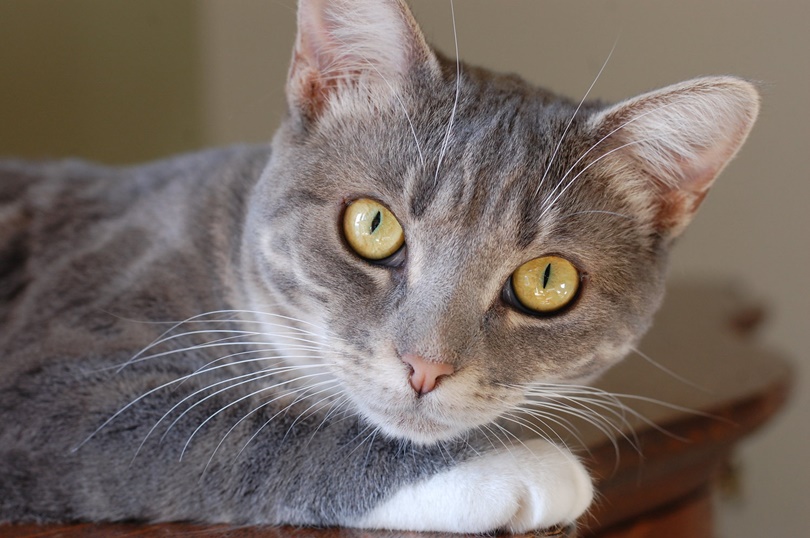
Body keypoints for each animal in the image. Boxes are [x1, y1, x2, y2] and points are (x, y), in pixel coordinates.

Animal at [0, 0, 756, 528]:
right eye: (372, 225)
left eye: (547, 282)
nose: (426, 367)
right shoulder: (60, 388)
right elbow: (237, 432)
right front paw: (511, 464)